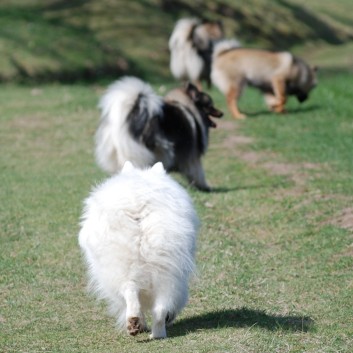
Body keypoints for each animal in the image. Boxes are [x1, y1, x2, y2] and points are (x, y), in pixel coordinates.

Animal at [78, 161, 198, 336]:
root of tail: (138, 209)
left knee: (132, 292)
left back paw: (142, 327)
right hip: (164, 269)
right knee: (157, 306)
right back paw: (152, 332)